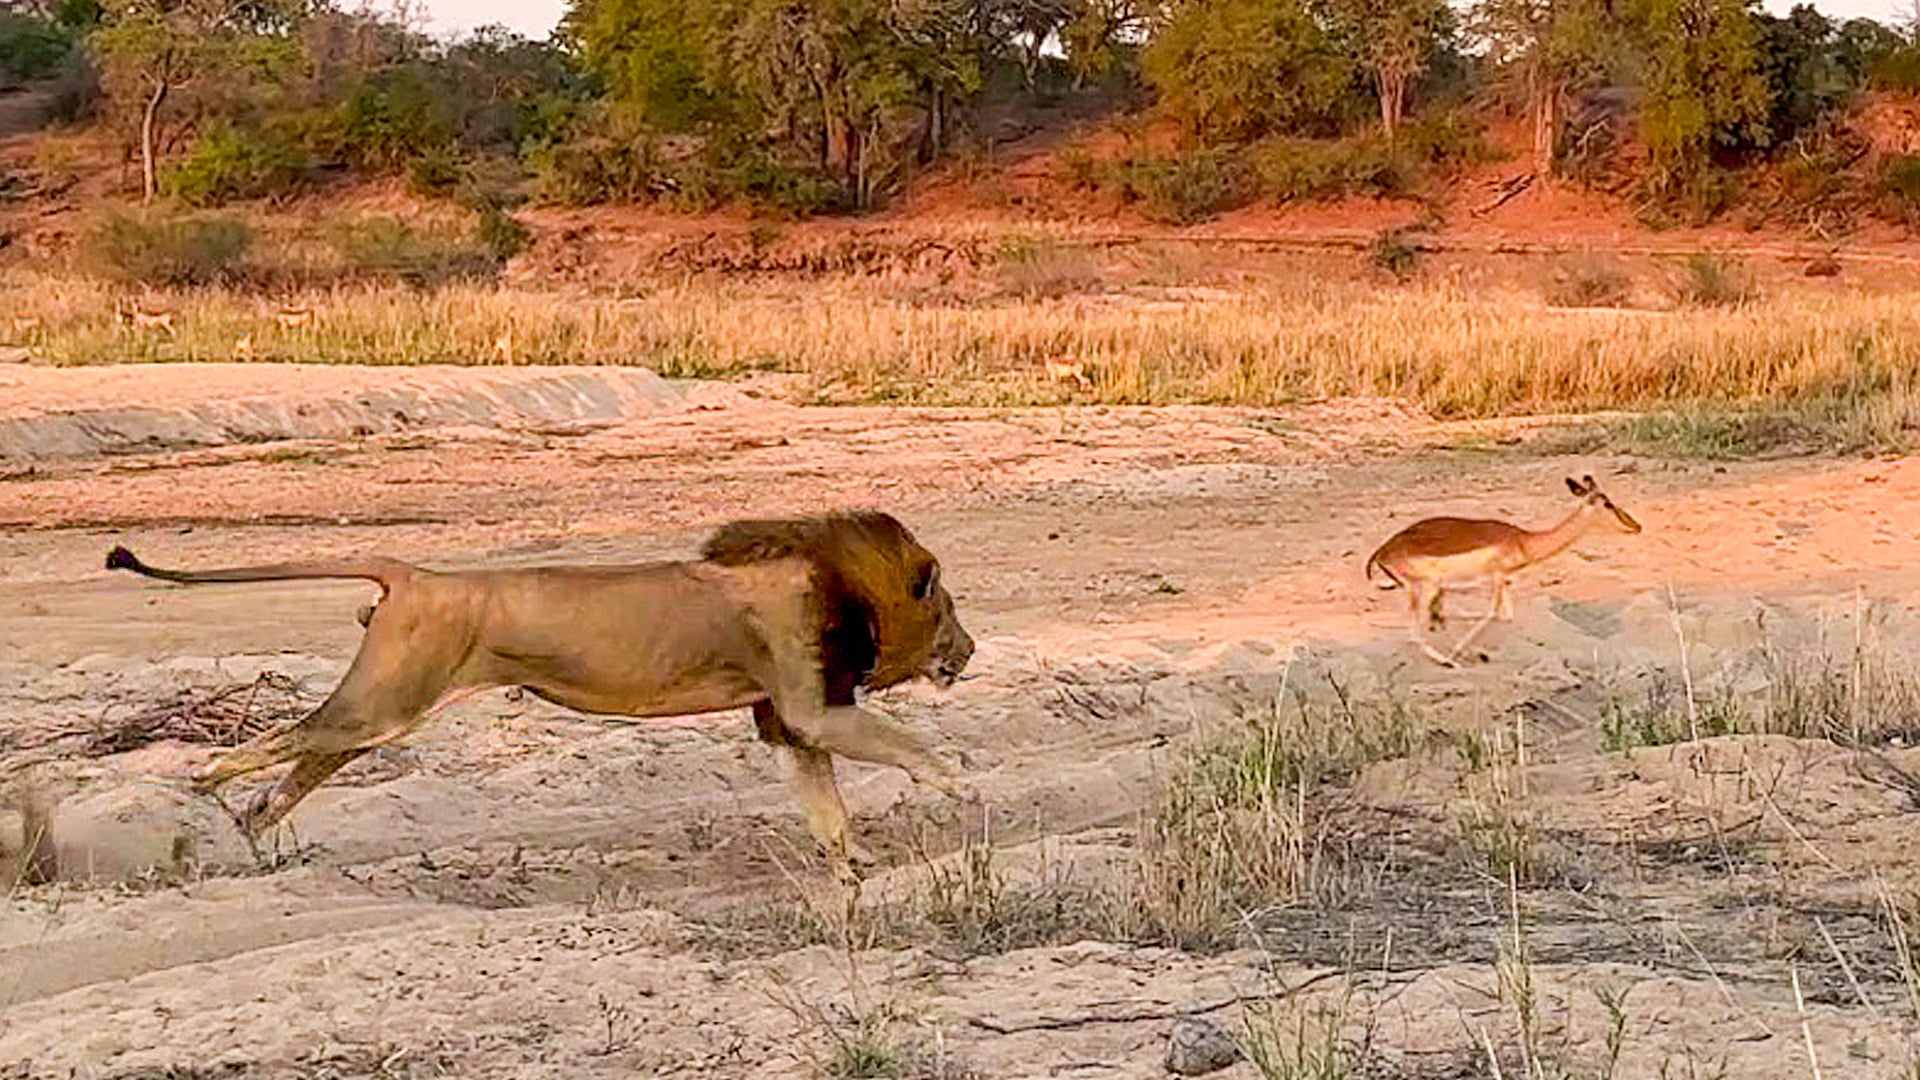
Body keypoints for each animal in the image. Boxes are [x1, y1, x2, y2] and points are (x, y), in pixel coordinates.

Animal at [105, 510, 977, 885]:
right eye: (949, 610)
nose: (969, 652)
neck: (841, 580)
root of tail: (415, 574)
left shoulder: (787, 723)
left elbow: (828, 810)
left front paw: (857, 871)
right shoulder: (810, 705)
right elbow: (908, 748)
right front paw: (962, 783)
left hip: (377, 713)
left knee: (294, 770)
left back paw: (248, 840)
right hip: (385, 704)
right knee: (261, 749)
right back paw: (195, 803)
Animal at [1365, 475, 1642, 667]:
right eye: (1608, 503)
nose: (1636, 526)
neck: (1524, 542)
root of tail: (1382, 552)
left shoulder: (1503, 582)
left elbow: (1504, 617)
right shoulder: (1497, 578)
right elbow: (1491, 614)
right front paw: (1458, 652)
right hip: (1426, 587)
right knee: (1412, 630)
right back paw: (1448, 660)